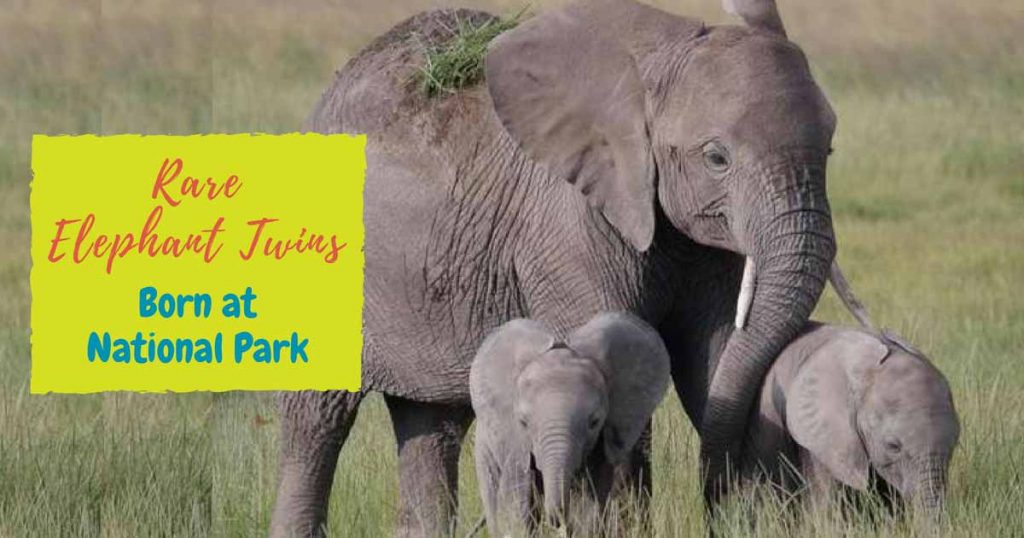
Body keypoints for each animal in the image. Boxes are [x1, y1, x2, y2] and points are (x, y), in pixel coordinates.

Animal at [469, 313, 670, 535]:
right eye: (523, 423)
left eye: (594, 422)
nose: (556, 520)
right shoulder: (515, 443)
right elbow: (517, 507)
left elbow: (588, 510)